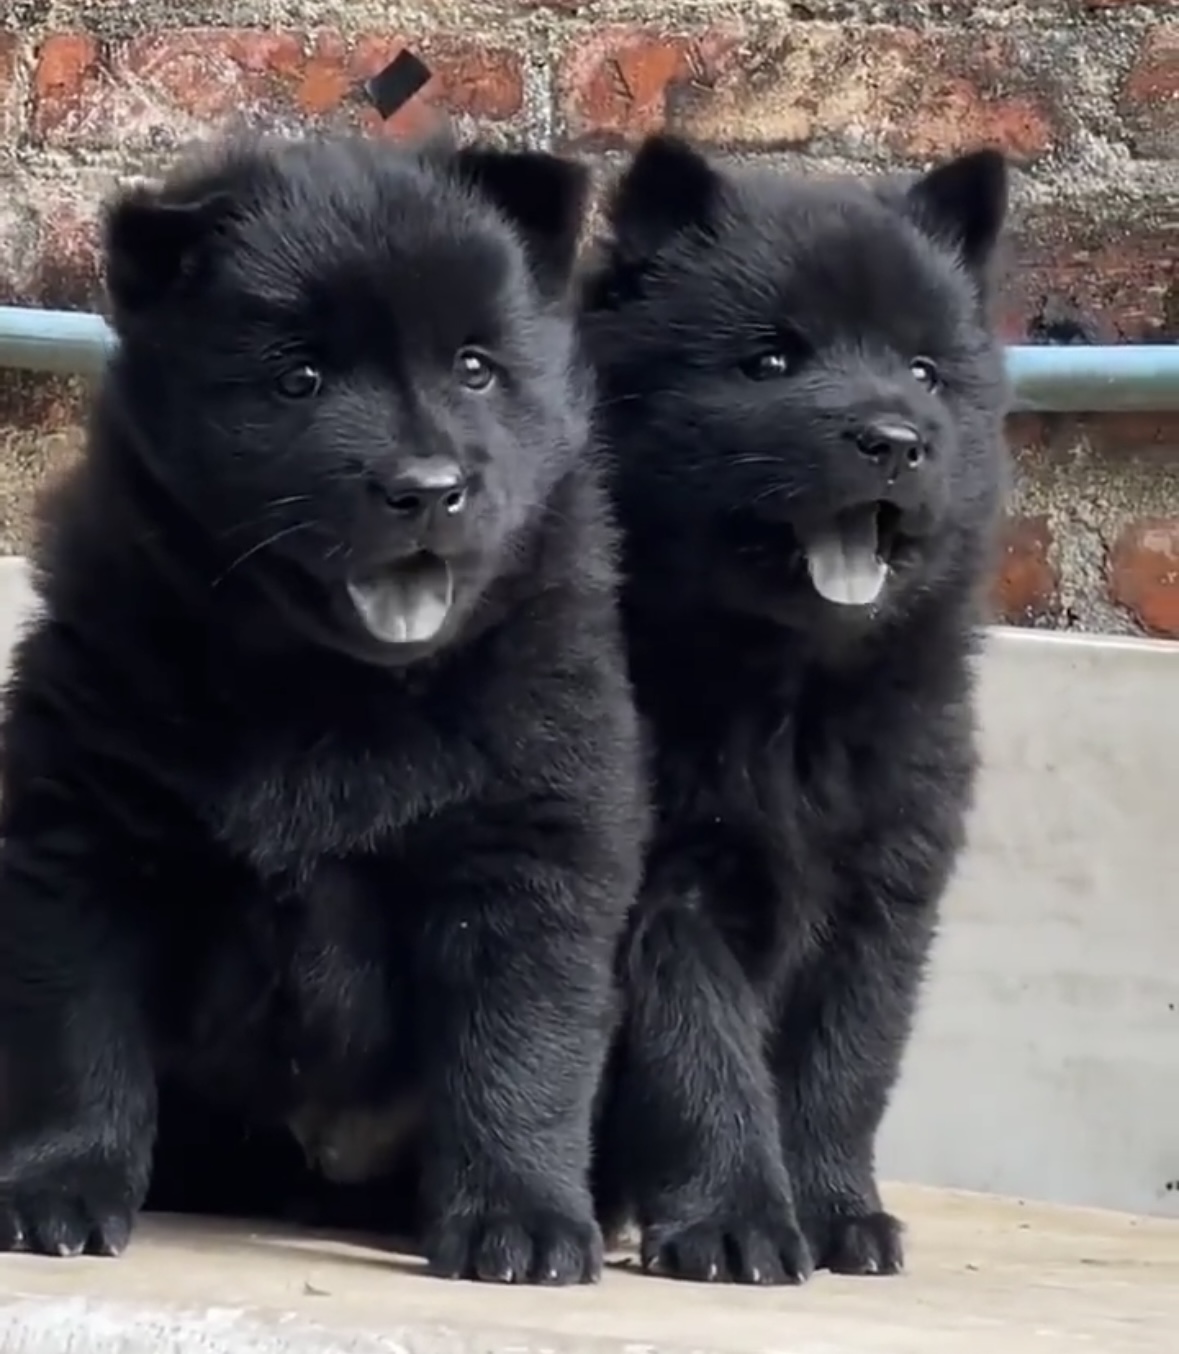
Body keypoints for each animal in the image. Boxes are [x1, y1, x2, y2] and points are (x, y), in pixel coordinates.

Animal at [0, 127, 644, 1278]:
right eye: (297, 379)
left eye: (474, 367)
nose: (426, 488)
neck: (335, 690)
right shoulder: (86, 833)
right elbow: (77, 1033)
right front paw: (61, 1187)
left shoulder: (530, 850)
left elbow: (520, 1050)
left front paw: (521, 1218)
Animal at [582, 134, 1007, 1278]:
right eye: (770, 362)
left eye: (924, 371)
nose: (894, 439)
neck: (792, 698)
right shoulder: (669, 892)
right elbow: (702, 1053)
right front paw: (733, 1225)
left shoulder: (884, 895)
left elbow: (845, 1060)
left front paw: (837, 1215)